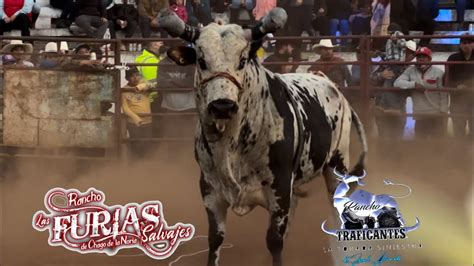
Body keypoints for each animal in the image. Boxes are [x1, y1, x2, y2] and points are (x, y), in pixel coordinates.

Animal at [157, 7, 368, 266]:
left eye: (242, 59)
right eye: (202, 60)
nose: (222, 106)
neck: (233, 145)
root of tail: (330, 83)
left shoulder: (280, 190)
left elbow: (274, 242)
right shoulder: (210, 190)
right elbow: (215, 239)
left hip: (337, 165)